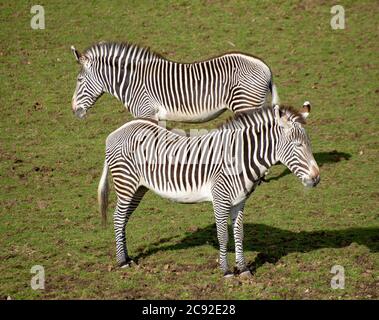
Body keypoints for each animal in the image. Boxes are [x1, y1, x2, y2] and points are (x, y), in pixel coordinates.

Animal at [71, 42, 280, 122]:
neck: (132, 81)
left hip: (245, 104)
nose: (74, 111)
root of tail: (265, 67)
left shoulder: (147, 113)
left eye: (79, 80)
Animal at [96, 102, 320, 278]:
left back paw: (127, 257)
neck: (239, 158)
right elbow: (223, 236)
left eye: (309, 143)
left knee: (123, 219)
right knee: (118, 218)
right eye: (297, 145)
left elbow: (239, 234)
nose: (316, 178)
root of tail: (119, 130)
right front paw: (226, 271)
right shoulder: (220, 199)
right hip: (126, 184)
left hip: (138, 189)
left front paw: (243, 268)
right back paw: (121, 262)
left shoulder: (239, 201)